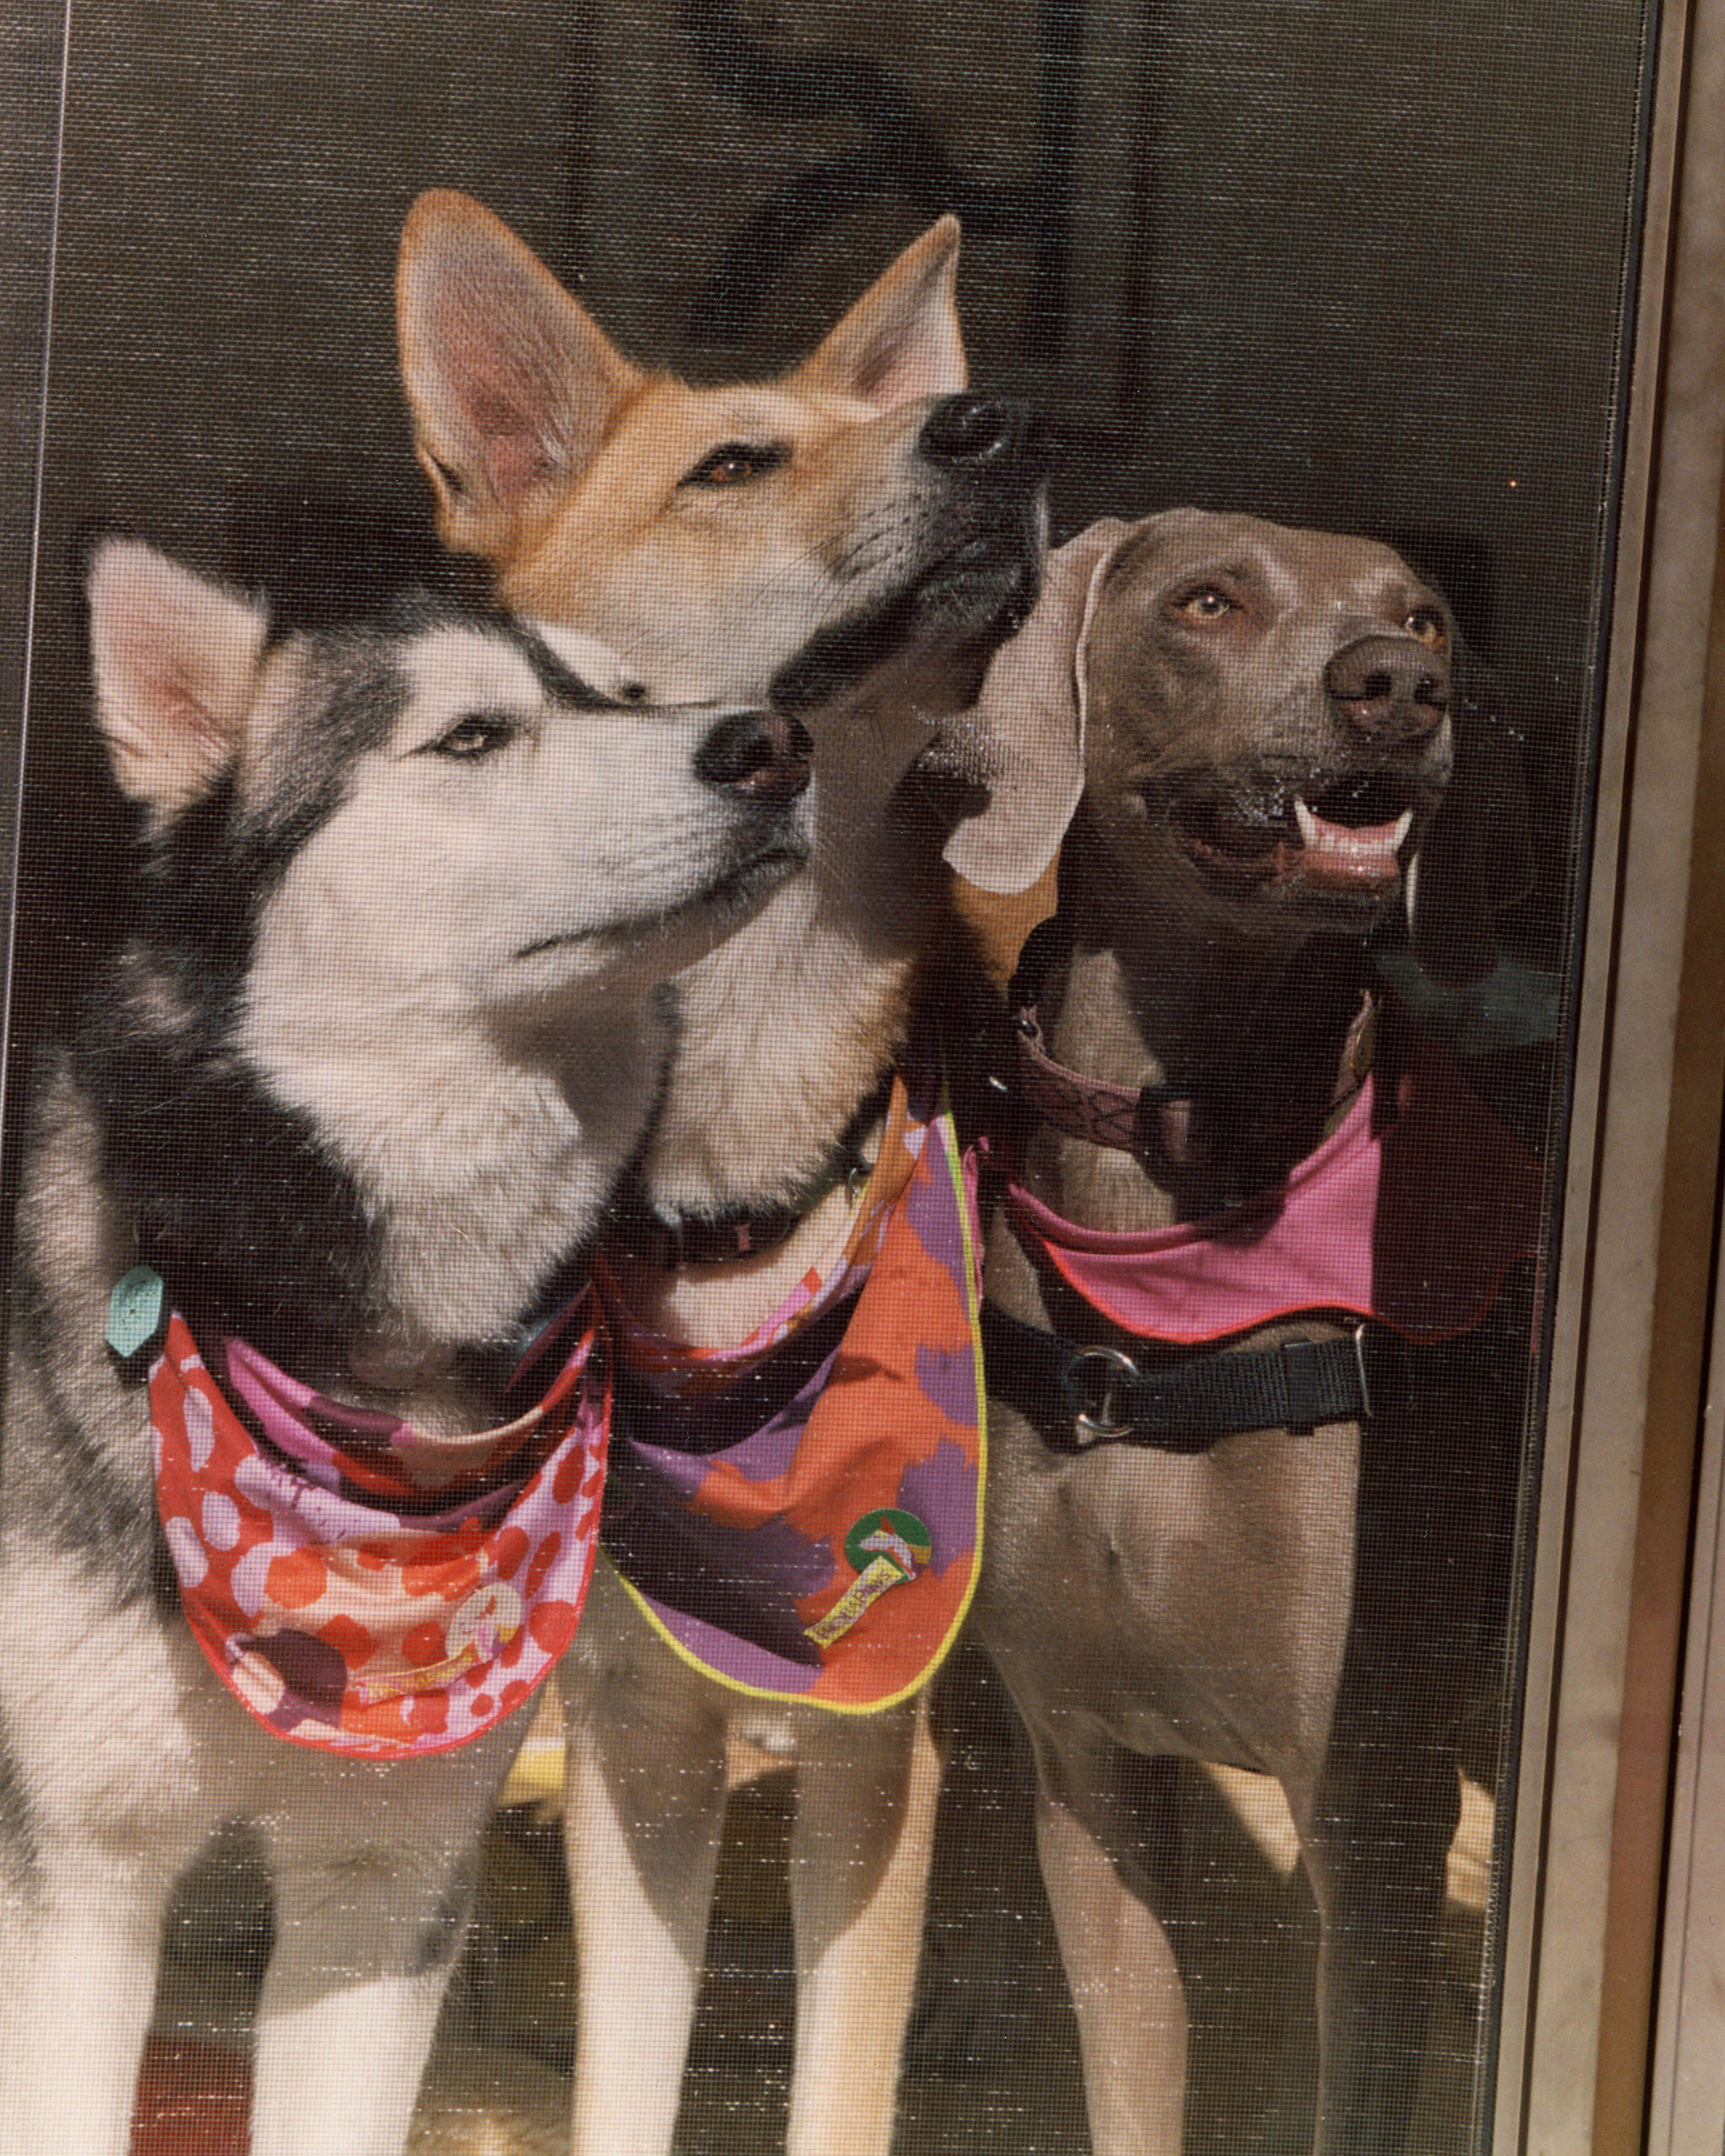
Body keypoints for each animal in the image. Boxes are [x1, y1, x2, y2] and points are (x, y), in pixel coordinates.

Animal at [398, 189, 1065, 2156]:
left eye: (898, 416)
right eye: (734, 465)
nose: (1003, 426)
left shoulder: (869, 1749)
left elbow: (840, 2087)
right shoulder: (642, 1731)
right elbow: (626, 2074)